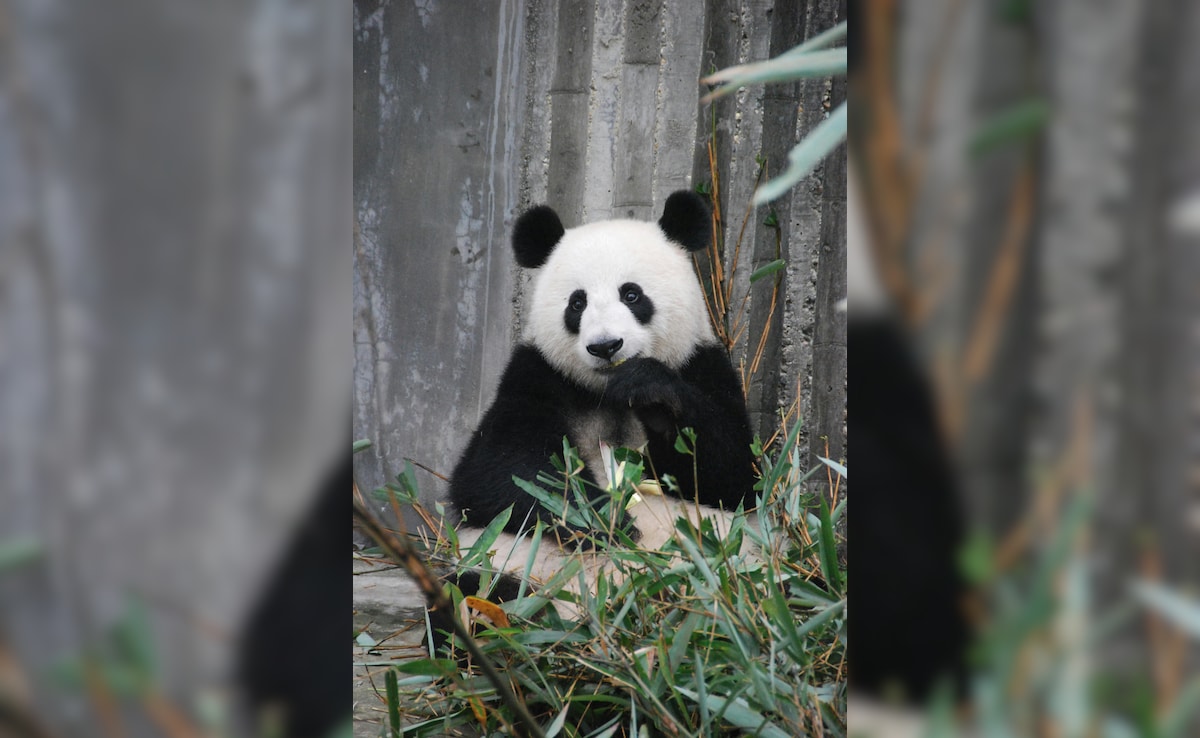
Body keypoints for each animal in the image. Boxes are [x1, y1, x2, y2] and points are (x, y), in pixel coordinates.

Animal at [438, 190, 759, 618]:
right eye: (577, 303)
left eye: (632, 294)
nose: (605, 346)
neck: (606, 392)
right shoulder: (536, 377)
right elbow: (497, 474)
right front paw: (609, 520)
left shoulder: (702, 365)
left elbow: (733, 474)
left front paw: (652, 394)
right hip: (504, 566)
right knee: (469, 595)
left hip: (732, 572)